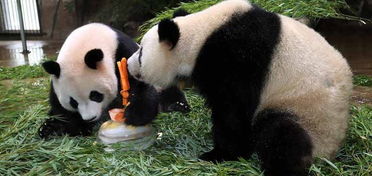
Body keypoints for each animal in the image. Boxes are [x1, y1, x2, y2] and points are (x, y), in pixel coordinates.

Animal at [38, 23, 190, 139]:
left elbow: (140, 84)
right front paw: (78, 128)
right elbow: (60, 107)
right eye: (73, 102)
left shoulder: (124, 52)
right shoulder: (57, 78)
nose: (89, 118)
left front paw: (134, 115)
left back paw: (178, 105)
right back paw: (47, 128)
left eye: (95, 95)